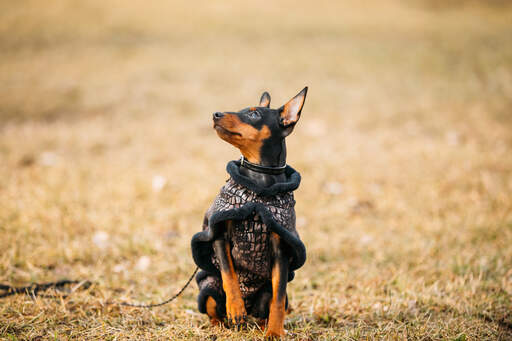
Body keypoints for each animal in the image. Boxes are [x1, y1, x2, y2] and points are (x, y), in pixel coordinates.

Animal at [190, 87, 306, 338]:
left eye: (254, 114)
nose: (215, 114)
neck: (259, 183)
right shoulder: (219, 235)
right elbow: (229, 275)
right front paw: (236, 310)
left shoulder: (281, 249)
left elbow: (279, 298)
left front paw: (275, 333)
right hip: (209, 289)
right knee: (214, 309)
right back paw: (224, 325)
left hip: (264, 292)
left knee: (269, 306)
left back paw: (263, 325)